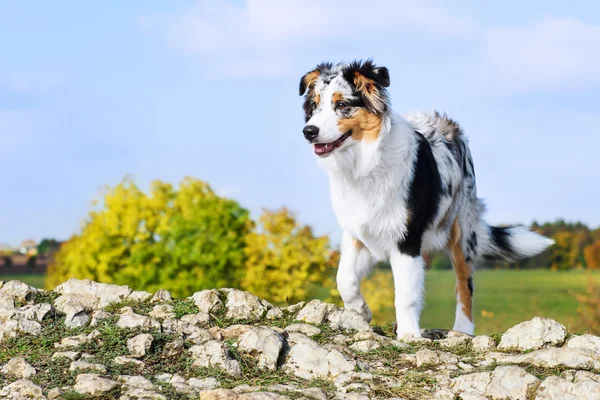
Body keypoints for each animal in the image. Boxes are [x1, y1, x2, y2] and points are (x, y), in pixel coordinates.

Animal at [298, 58, 552, 334]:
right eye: (314, 106)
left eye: (342, 105)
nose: (308, 131)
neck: (365, 164)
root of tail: (449, 124)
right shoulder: (358, 231)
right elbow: (344, 279)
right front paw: (361, 311)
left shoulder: (407, 238)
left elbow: (406, 293)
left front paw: (409, 333)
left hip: (462, 232)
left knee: (465, 285)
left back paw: (462, 329)